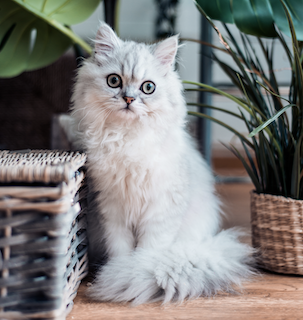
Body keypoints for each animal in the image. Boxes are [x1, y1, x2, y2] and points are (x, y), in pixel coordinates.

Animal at [67, 21, 255, 304]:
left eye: (148, 87)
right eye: (114, 81)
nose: (129, 99)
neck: (127, 140)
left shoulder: (160, 211)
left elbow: (148, 251)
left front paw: (133, 271)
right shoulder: (112, 210)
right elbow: (121, 249)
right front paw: (120, 269)